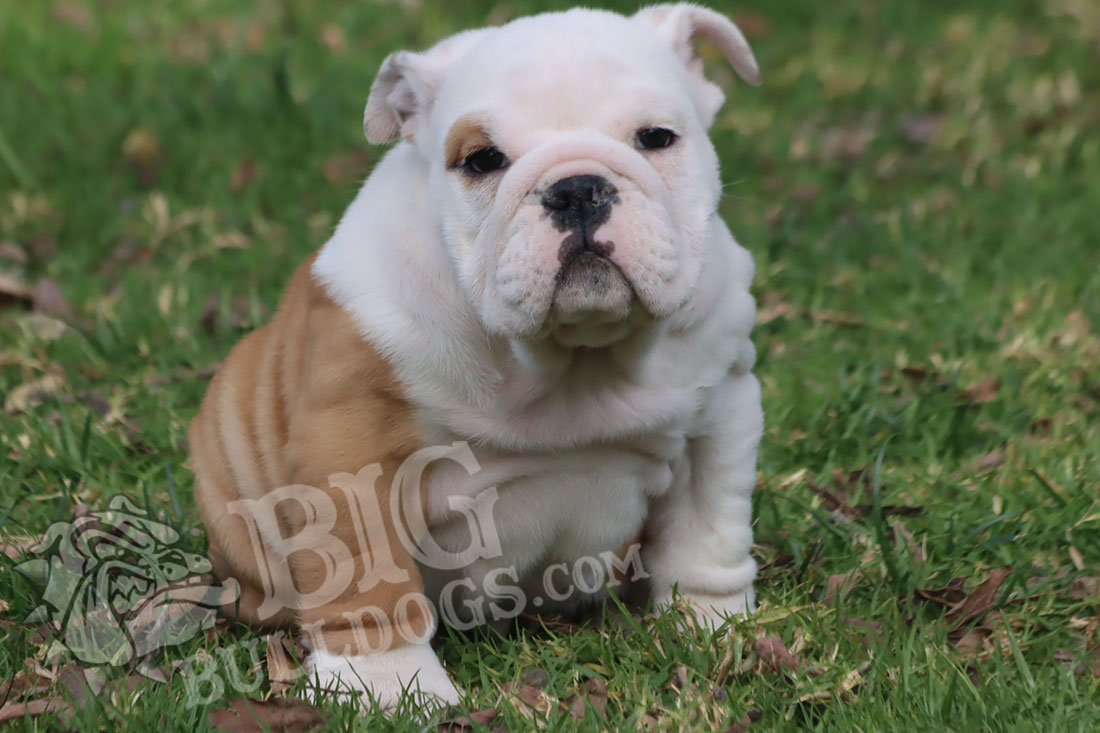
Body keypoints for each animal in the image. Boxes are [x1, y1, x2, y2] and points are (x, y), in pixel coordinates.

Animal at [188, 3, 763, 712]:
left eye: (656, 137)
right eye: (482, 159)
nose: (577, 188)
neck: (571, 356)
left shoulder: (721, 409)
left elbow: (708, 530)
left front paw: (709, 623)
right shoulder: (348, 442)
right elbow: (366, 576)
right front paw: (386, 683)